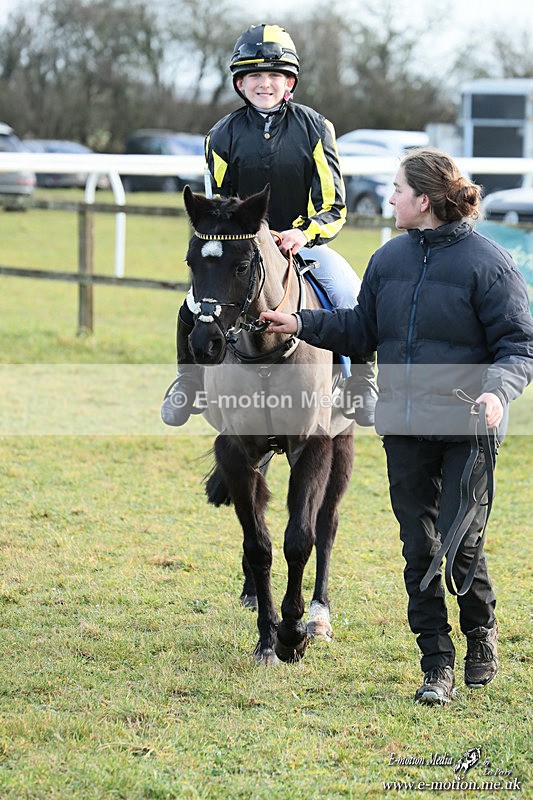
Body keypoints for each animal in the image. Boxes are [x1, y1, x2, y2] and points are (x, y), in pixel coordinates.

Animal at [182, 183, 356, 665]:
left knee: (327, 524)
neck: (265, 353)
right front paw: (267, 636)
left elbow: (300, 538)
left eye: (241, 266)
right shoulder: (236, 450)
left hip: (343, 443)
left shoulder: (311, 445)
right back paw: (252, 596)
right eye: (191, 262)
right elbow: (257, 544)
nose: (206, 343)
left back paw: (318, 616)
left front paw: (293, 634)